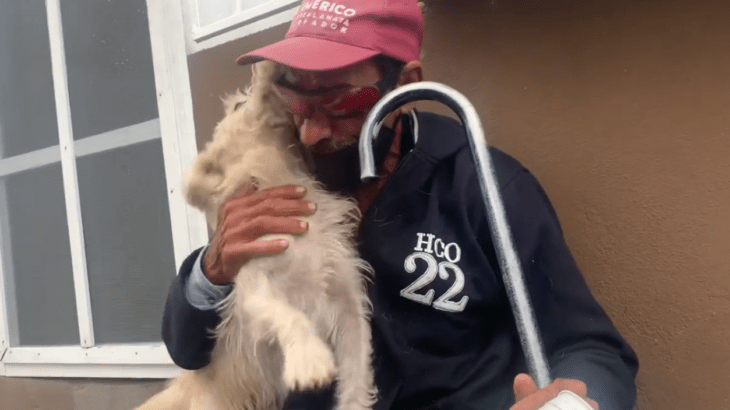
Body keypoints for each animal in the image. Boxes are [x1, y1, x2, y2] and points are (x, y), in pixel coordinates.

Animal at [137, 60, 376, 410]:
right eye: (239, 105)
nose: (268, 63)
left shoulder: (348, 302)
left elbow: (357, 371)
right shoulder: (255, 290)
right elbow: (289, 315)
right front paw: (309, 359)